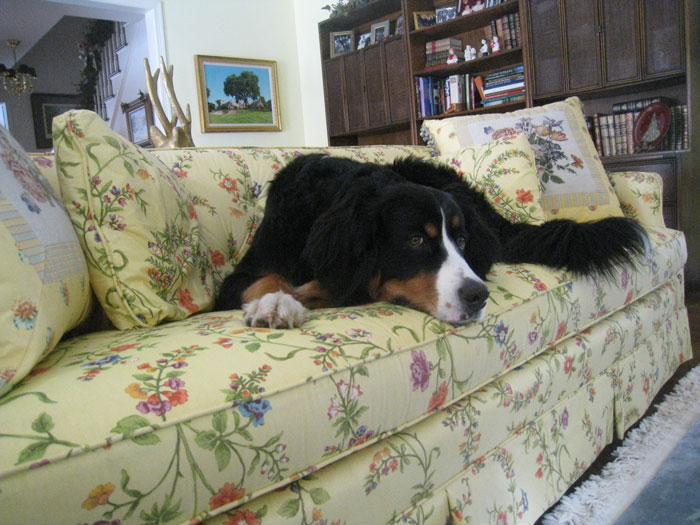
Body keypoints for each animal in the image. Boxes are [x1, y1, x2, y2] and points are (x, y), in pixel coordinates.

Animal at [216, 154, 648, 328]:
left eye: (460, 239)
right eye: (414, 240)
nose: (477, 296)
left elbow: (345, 286)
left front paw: (303, 294)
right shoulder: (242, 274)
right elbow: (267, 277)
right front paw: (275, 303)